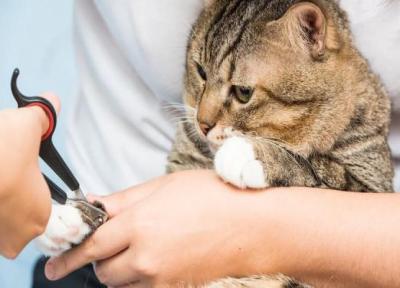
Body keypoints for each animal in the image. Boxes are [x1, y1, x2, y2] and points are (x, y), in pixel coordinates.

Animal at [166, 0, 394, 286]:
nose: (202, 124)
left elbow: (320, 170)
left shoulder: (369, 185)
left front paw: (250, 154)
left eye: (243, 92)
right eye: (201, 72)